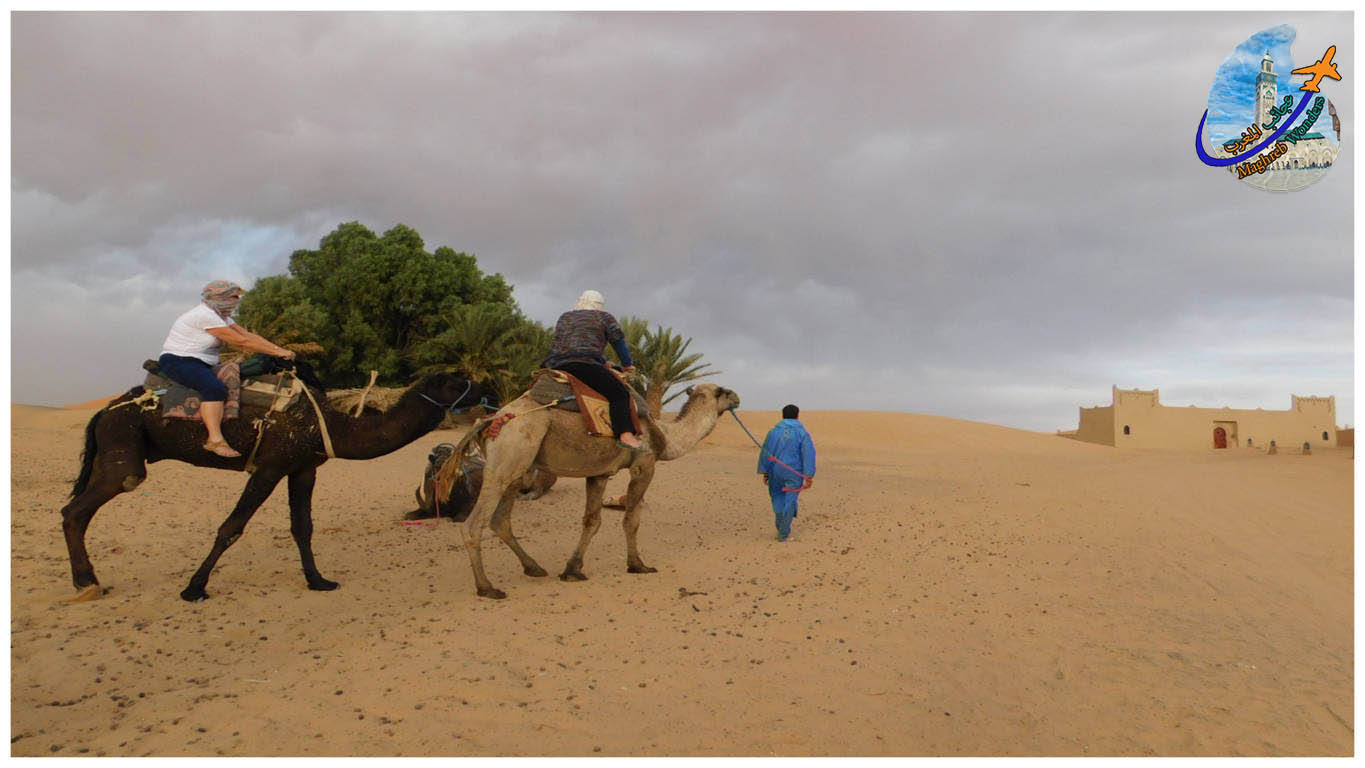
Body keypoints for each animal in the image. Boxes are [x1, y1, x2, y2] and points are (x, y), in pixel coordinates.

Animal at [60, 371, 485, 600]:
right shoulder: (270, 465)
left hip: (113, 449)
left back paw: (88, 581)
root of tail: (103, 410)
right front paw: (194, 588)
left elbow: (303, 527)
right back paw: (86, 583)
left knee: (77, 508)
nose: (490, 392)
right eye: (457, 381)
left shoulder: (303, 468)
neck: (331, 425)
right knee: (78, 508)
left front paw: (318, 581)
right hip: (123, 443)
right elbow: (232, 527)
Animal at [442, 381, 742, 597]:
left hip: (517, 469)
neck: (667, 437)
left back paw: (534, 567)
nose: (738, 398)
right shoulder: (644, 465)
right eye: (724, 391)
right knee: (474, 524)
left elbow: (592, 521)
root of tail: (490, 420)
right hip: (508, 458)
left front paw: (572, 570)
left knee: (500, 520)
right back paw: (487, 587)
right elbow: (631, 520)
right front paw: (638, 565)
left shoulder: (599, 473)